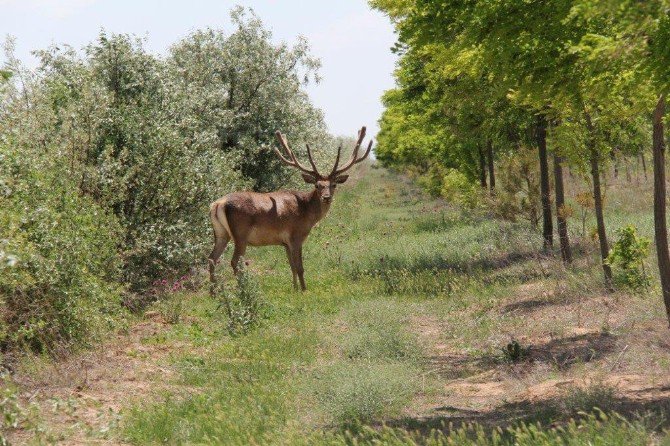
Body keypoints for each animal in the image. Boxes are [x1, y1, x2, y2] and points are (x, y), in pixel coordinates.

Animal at [207, 127, 372, 290]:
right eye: (317, 185)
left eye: (334, 185)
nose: (326, 197)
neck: (307, 213)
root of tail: (218, 204)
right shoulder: (296, 236)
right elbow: (300, 267)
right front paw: (304, 290)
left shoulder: (285, 242)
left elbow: (291, 267)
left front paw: (295, 289)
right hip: (240, 234)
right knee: (234, 262)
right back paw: (242, 290)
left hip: (221, 233)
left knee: (212, 258)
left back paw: (214, 292)